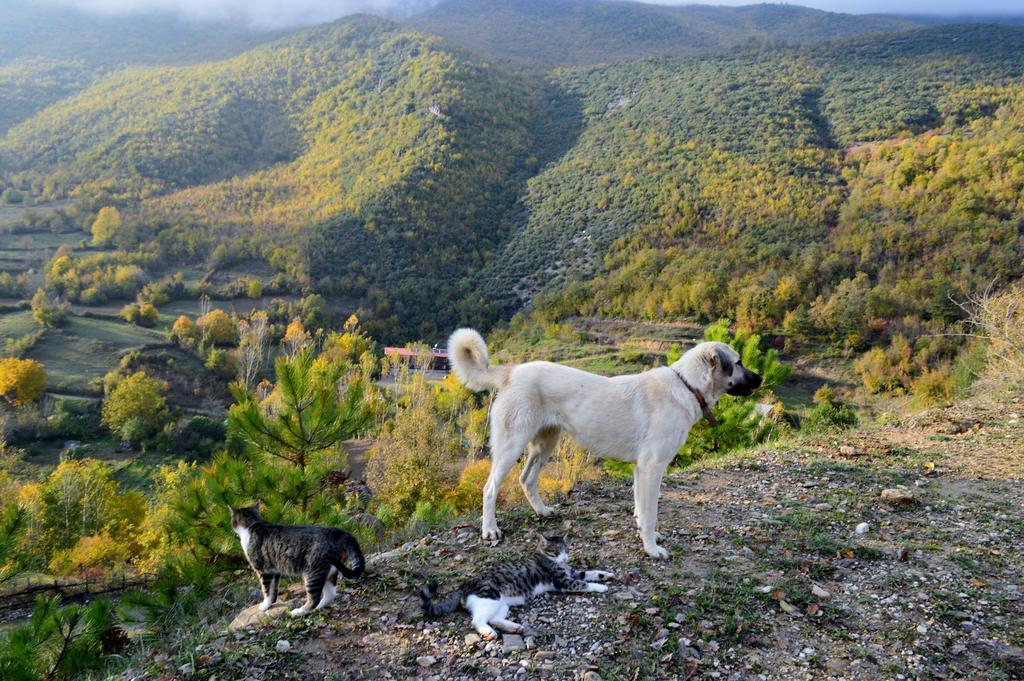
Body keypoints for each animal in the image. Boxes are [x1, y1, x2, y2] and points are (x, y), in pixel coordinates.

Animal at [230, 503, 366, 614]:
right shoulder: (275, 570)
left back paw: (299, 611)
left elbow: (266, 590)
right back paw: (317, 608)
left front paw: (265, 606)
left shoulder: (263, 570)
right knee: (330, 594)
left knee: (314, 599)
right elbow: (274, 589)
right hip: (330, 570)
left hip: (312, 573)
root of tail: (341, 532)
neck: (253, 524)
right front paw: (272, 602)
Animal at [419, 532, 610, 639]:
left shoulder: (571, 572)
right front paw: (600, 587)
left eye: (566, 550)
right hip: (490, 596)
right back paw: (489, 632)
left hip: (501, 604)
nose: (565, 557)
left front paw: (606, 574)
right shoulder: (562, 581)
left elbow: (588, 573)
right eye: (556, 551)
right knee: (478, 620)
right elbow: (583, 583)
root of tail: (463, 585)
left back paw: (514, 627)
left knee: (494, 619)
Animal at [448, 327, 761, 557]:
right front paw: (651, 548)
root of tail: (512, 371)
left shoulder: (640, 469)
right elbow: (650, 512)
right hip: (511, 445)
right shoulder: (652, 468)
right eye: (738, 363)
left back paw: (542, 511)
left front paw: (645, 533)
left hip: (545, 443)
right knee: (490, 488)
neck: (686, 385)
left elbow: (640, 508)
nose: (760, 379)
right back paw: (490, 530)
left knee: (527, 479)